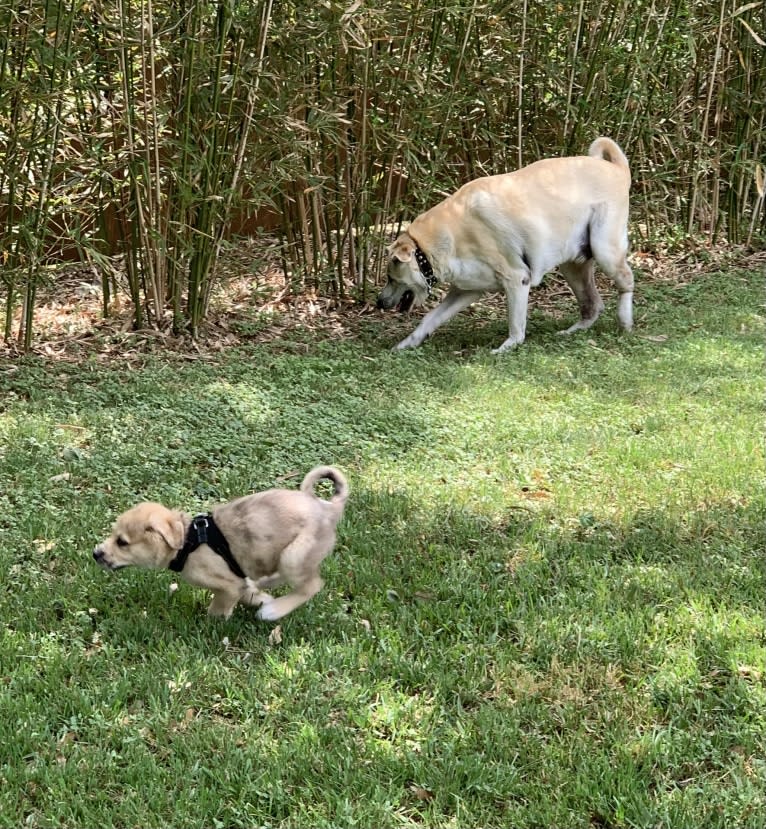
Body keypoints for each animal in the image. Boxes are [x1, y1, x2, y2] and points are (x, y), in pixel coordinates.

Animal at [91, 466, 352, 620]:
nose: (95, 553)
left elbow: (217, 610)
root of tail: (329, 509)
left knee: (311, 585)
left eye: (122, 542)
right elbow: (247, 591)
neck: (189, 544)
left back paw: (274, 611)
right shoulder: (237, 581)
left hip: (294, 555)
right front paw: (259, 597)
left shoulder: (228, 586)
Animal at [378, 135, 636, 352]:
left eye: (391, 278)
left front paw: (507, 347)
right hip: (573, 265)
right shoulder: (465, 290)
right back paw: (572, 331)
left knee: (626, 281)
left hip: (605, 250)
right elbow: (430, 318)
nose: (378, 302)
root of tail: (618, 169)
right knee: (593, 304)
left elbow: (516, 324)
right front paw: (406, 344)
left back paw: (625, 322)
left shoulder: (516, 279)